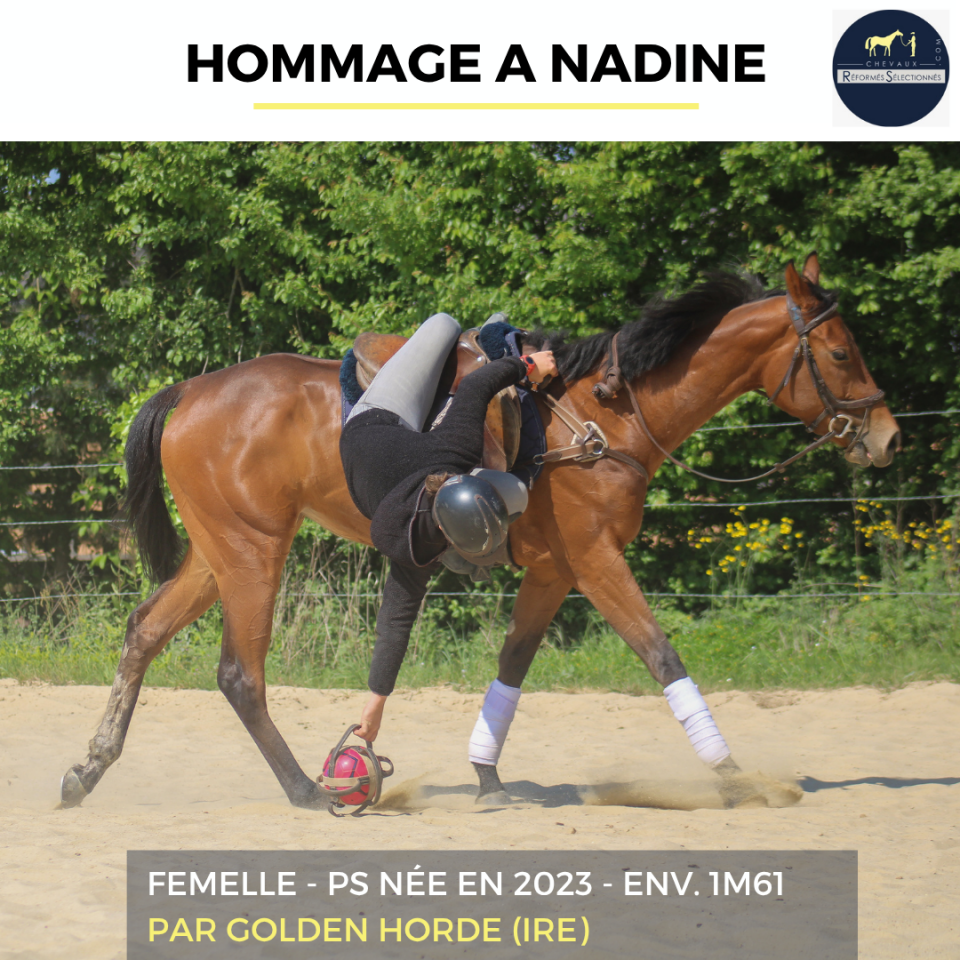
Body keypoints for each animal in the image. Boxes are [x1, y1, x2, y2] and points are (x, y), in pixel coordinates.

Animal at [59, 254, 901, 811]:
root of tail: (190, 390)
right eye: (839, 352)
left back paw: (89, 769)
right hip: (253, 553)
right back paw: (303, 787)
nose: (888, 438)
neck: (603, 413)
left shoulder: (555, 570)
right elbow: (661, 655)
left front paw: (486, 773)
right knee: (240, 673)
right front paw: (734, 778)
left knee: (144, 632)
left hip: (218, 553)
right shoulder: (595, 560)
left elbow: (513, 665)